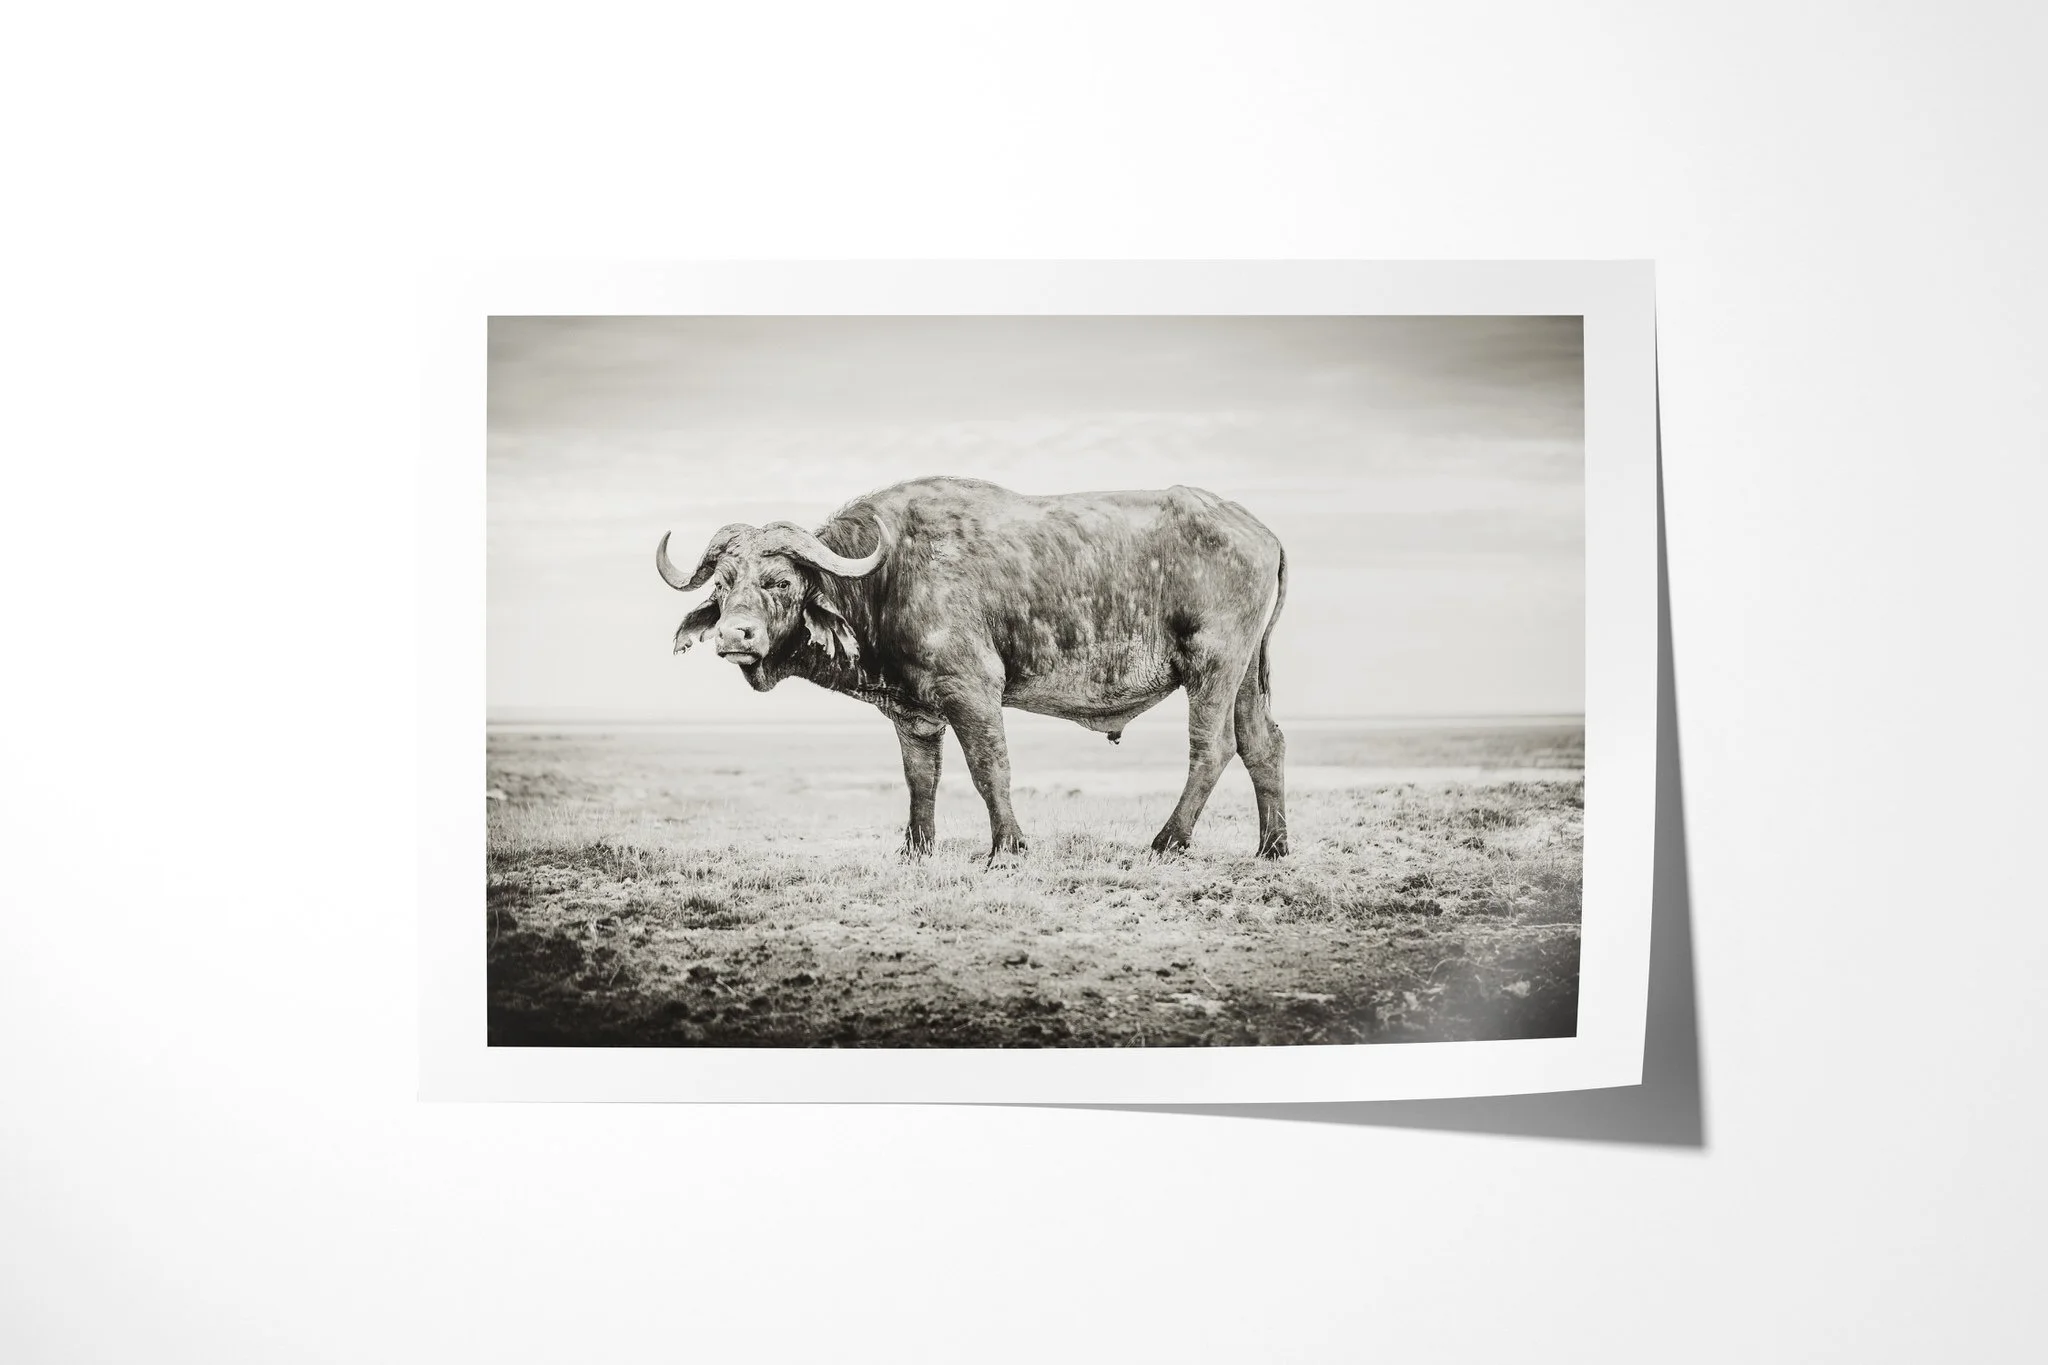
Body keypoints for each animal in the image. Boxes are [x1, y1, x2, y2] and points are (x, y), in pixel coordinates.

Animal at [657, 476, 1288, 861]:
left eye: (781, 582)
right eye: (723, 584)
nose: (733, 635)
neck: (887, 578)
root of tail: (1261, 532)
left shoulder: (973, 691)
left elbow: (990, 769)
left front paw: (1007, 847)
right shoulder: (913, 715)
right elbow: (921, 778)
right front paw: (916, 848)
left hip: (1213, 665)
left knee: (1213, 748)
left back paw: (1167, 841)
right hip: (1246, 675)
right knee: (1264, 744)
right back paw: (1273, 847)